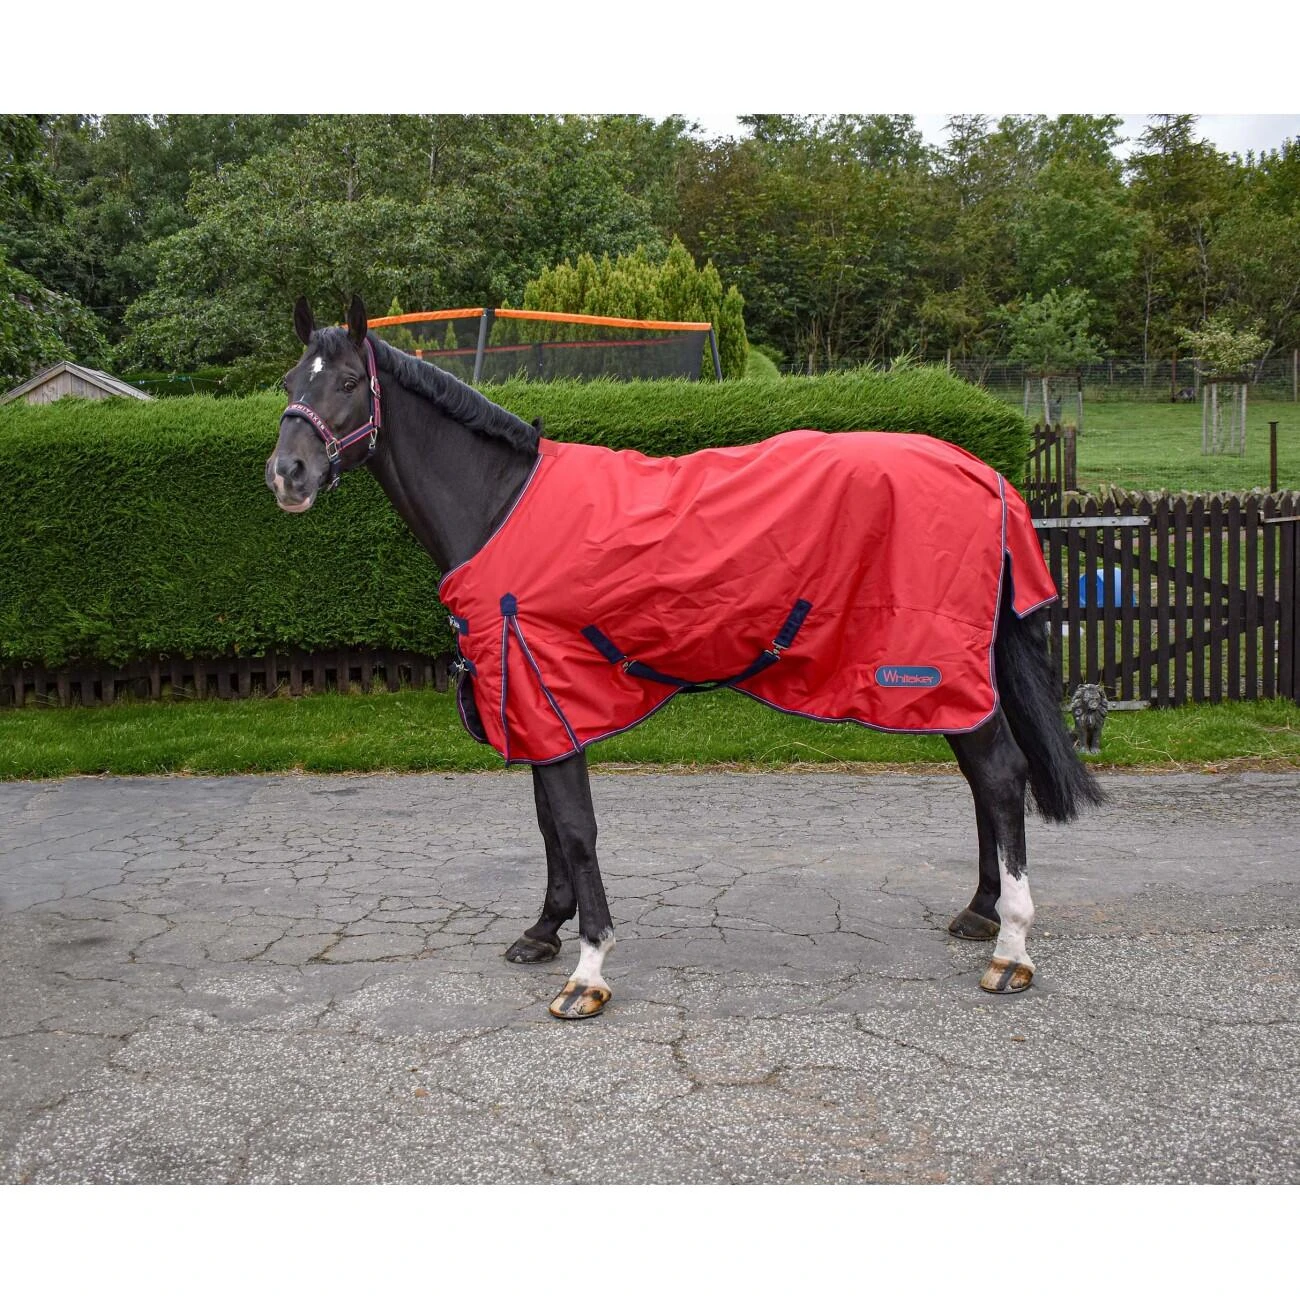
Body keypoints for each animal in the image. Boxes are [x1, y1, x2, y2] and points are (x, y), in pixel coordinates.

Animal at [266, 295, 1103, 1020]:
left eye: (349, 382)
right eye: (288, 382)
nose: (287, 474)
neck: (501, 503)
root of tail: (984, 475)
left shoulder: (548, 686)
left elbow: (574, 828)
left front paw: (588, 970)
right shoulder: (537, 700)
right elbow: (546, 823)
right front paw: (543, 930)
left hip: (933, 667)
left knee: (1000, 775)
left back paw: (1011, 950)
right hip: (946, 680)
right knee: (983, 783)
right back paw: (981, 912)